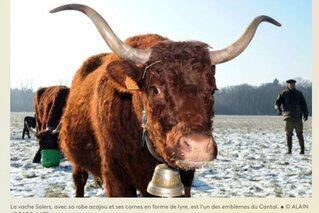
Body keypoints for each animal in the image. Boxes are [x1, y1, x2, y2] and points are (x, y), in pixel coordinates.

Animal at [49, 3, 280, 196]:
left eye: (212, 90)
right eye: (154, 89)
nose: (197, 146)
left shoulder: (183, 181)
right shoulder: (116, 177)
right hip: (77, 162)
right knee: (79, 180)